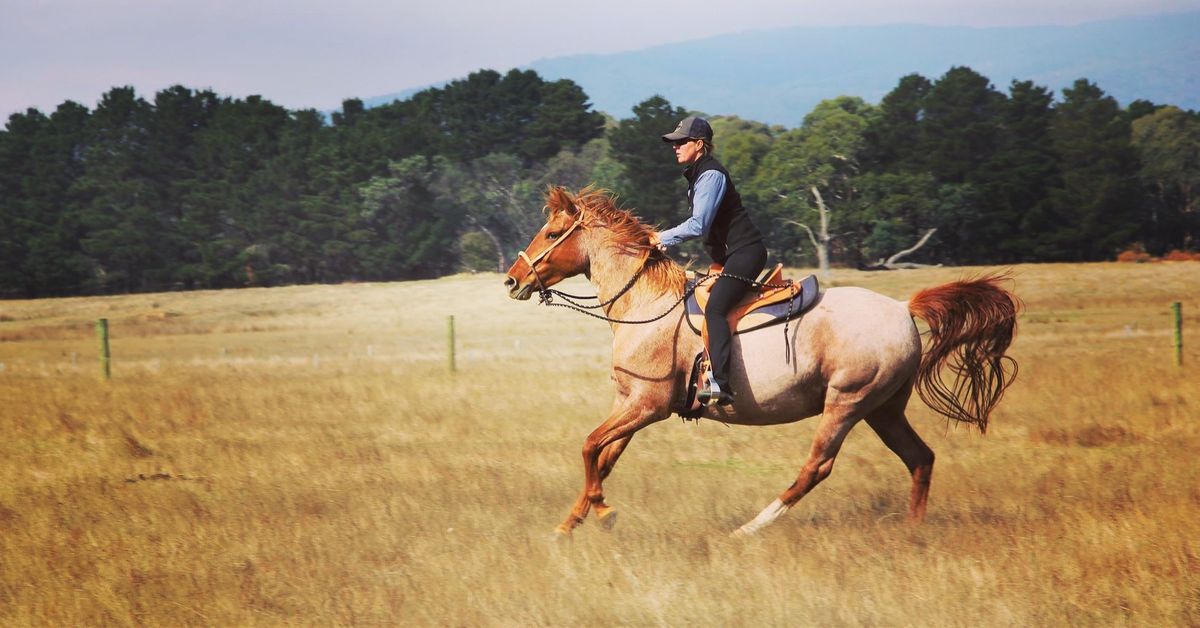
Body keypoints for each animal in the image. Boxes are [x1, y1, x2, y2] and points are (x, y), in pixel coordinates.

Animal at [501, 187, 1017, 535]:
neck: (645, 306)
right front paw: (572, 521)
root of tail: (903, 309)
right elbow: (603, 457)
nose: (512, 280)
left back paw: (750, 528)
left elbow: (590, 446)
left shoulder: (648, 405)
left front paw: (603, 513)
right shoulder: (630, 404)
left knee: (818, 467)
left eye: (552, 232)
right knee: (920, 458)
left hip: (848, 404)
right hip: (884, 410)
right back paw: (912, 531)